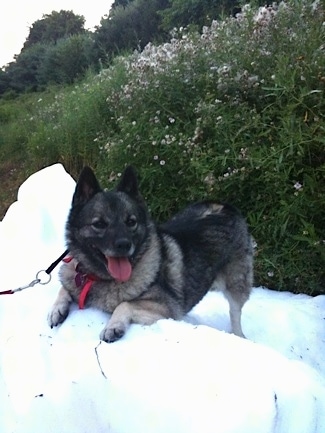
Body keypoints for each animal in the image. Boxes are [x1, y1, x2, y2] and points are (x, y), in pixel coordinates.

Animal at [47, 165, 253, 340]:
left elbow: (125, 304)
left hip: (236, 285)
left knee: (236, 313)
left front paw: (113, 326)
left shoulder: (167, 309)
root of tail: (225, 206)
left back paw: (239, 336)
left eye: (131, 222)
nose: (124, 244)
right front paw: (56, 309)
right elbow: (63, 289)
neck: (98, 278)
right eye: (99, 224)